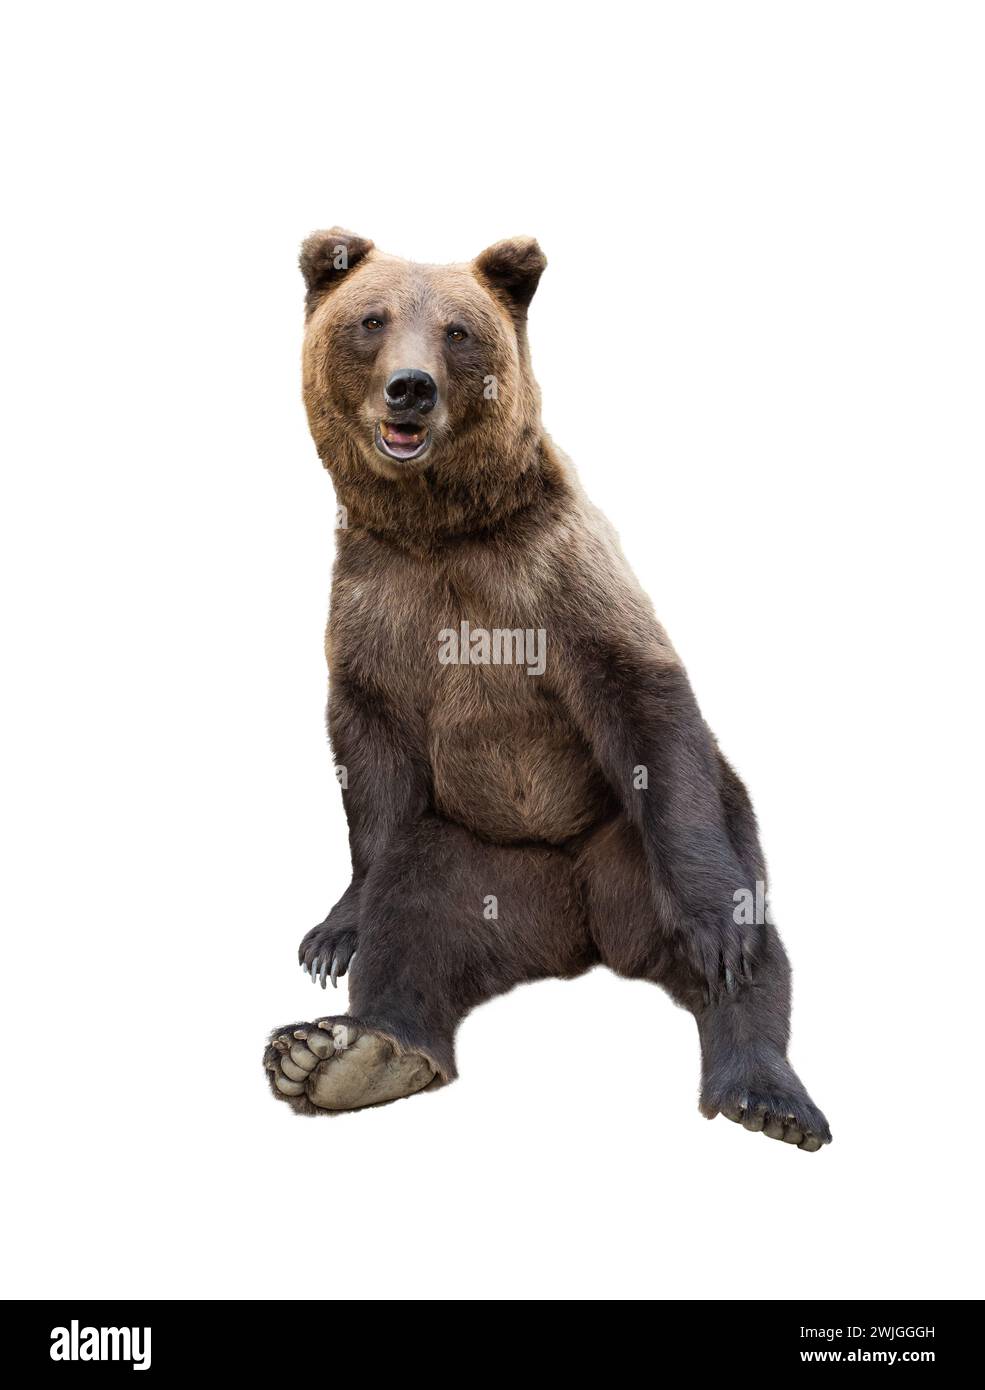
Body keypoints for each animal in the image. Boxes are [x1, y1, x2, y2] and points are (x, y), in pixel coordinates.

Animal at [263, 229, 831, 1150]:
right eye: (371, 319)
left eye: (458, 331)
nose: (410, 387)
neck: (441, 530)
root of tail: (579, 936)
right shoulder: (375, 603)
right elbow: (369, 756)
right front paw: (331, 934)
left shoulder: (556, 576)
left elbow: (644, 700)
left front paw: (718, 935)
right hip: (479, 861)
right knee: (415, 913)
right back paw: (352, 1055)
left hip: (630, 848)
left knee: (753, 931)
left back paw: (765, 1093)